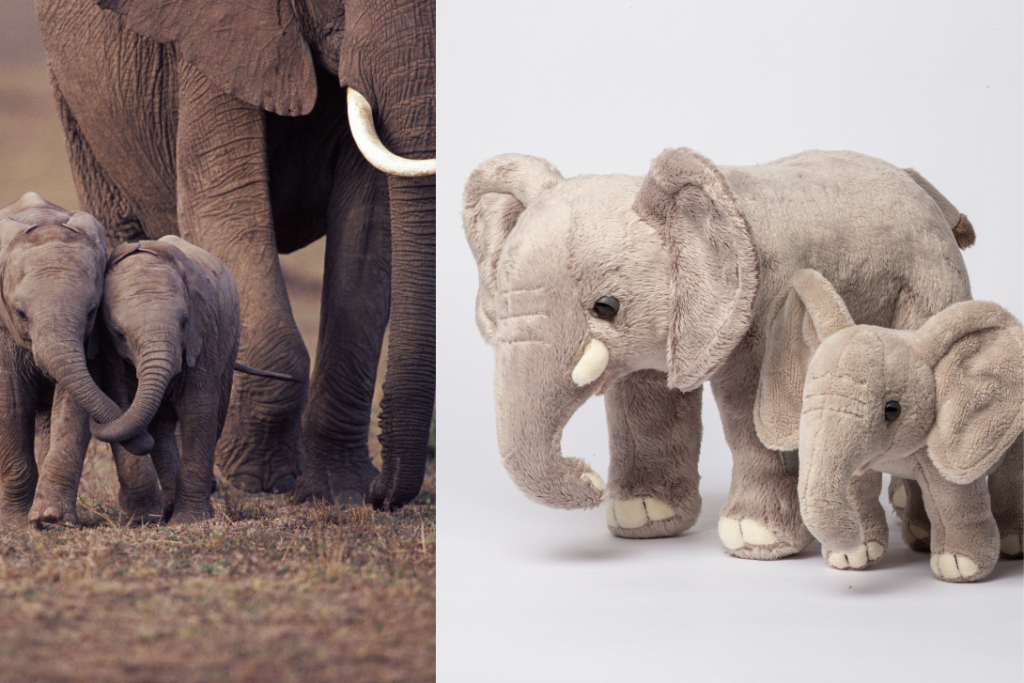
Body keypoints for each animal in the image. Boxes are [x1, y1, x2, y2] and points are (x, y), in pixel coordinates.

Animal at [90, 237, 299, 528]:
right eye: (119, 334)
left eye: (184, 322)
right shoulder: (110, 353)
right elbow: (122, 404)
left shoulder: (204, 332)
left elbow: (198, 410)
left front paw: (189, 521)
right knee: (160, 425)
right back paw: (170, 505)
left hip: (228, 345)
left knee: (216, 413)